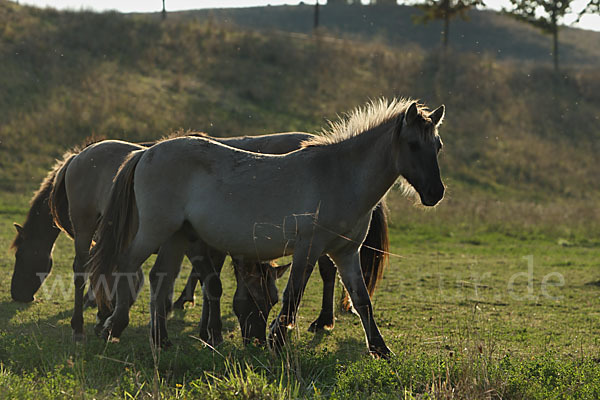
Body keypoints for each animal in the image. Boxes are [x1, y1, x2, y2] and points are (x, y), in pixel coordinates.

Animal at [11, 134, 392, 344]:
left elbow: (206, 281)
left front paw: (202, 326)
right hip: (90, 227)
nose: (256, 339)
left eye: (269, 302)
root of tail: (80, 157)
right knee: (85, 268)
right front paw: (200, 325)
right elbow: (202, 280)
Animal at [89, 98, 446, 358]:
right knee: (127, 265)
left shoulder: (345, 253)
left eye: (438, 146)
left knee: (159, 278)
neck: (339, 176)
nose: (435, 193)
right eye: (413, 145)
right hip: (155, 232)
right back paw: (112, 327)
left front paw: (381, 350)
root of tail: (147, 151)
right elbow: (294, 295)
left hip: (178, 236)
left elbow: (361, 301)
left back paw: (159, 340)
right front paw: (276, 340)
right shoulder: (309, 248)